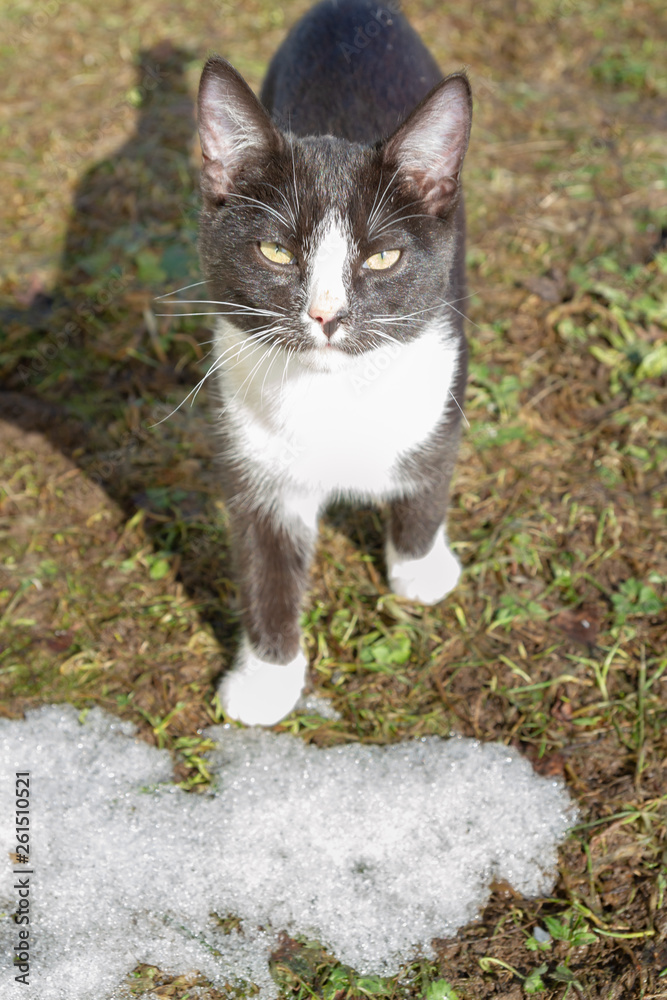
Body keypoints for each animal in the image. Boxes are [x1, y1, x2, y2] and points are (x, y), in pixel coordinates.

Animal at [196, 0, 472, 720]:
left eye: (382, 257)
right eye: (274, 251)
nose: (326, 315)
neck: (334, 395)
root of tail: (351, 7)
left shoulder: (441, 362)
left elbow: (431, 464)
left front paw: (420, 567)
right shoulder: (252, 461)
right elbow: (264, 561)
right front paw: (266, 681)